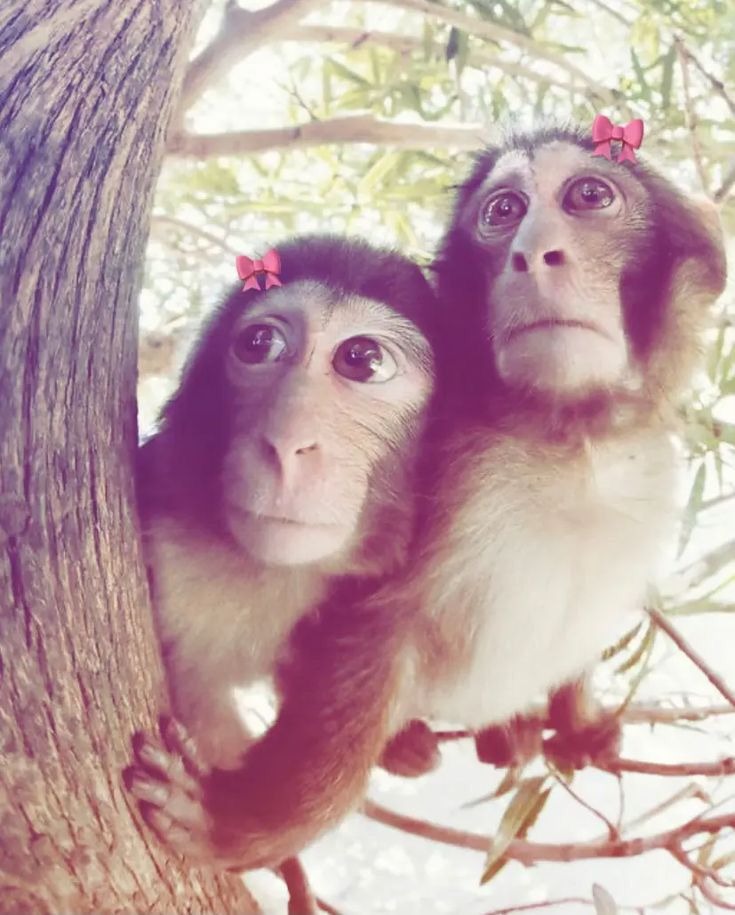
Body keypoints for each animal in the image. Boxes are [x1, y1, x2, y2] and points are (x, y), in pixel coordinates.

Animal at [127, 124, 727, 873]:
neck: (572, 446)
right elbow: (366, 639)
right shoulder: (443, 490)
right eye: (503, 211)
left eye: (589, 195)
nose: (533, 252)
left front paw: (579, 719)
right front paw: (239, 821)